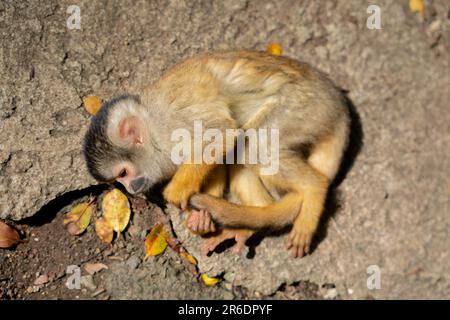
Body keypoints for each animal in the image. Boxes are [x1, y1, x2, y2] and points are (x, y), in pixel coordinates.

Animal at [82, 51, 350, 258]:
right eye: (119, 180)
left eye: (123, 173)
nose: (130, 189)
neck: (153, 130)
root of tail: (337, 99)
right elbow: (220, 156)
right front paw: (201, 219)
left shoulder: (172, 121)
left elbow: (221, 133)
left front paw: (177, 193)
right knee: (243, 151)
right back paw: (253, 220)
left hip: (304, 105)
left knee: (255, 143)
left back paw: (314, 187)